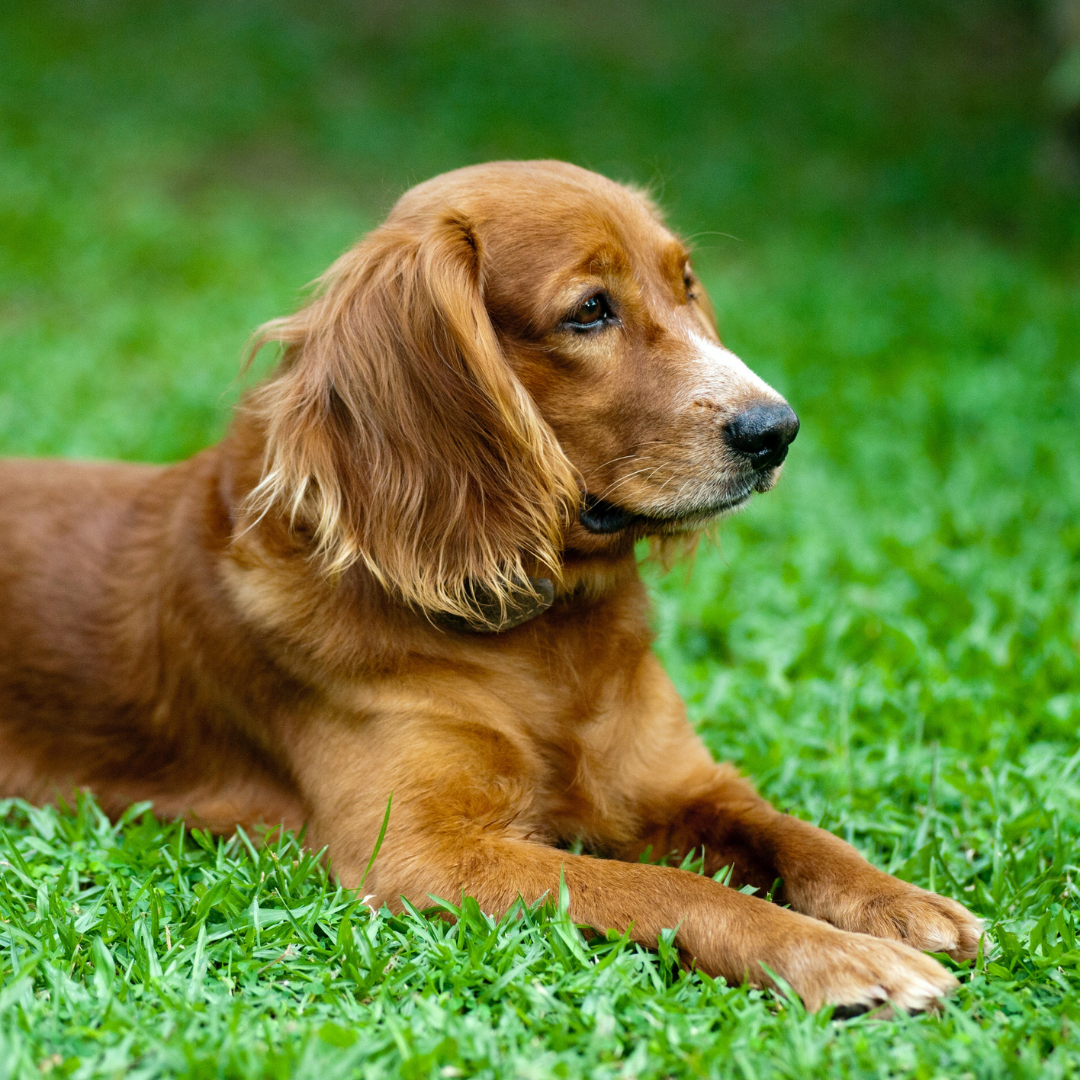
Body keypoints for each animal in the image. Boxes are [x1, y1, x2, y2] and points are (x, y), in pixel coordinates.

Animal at [0, 159, 980, 1010]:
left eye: (687, 284)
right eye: (590, 311)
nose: (775, 429)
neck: (543, 637)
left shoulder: (679, 782)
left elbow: (792, 830)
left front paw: (898, 903)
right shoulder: (425, 857)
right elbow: (670, 891)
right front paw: (837, 958)